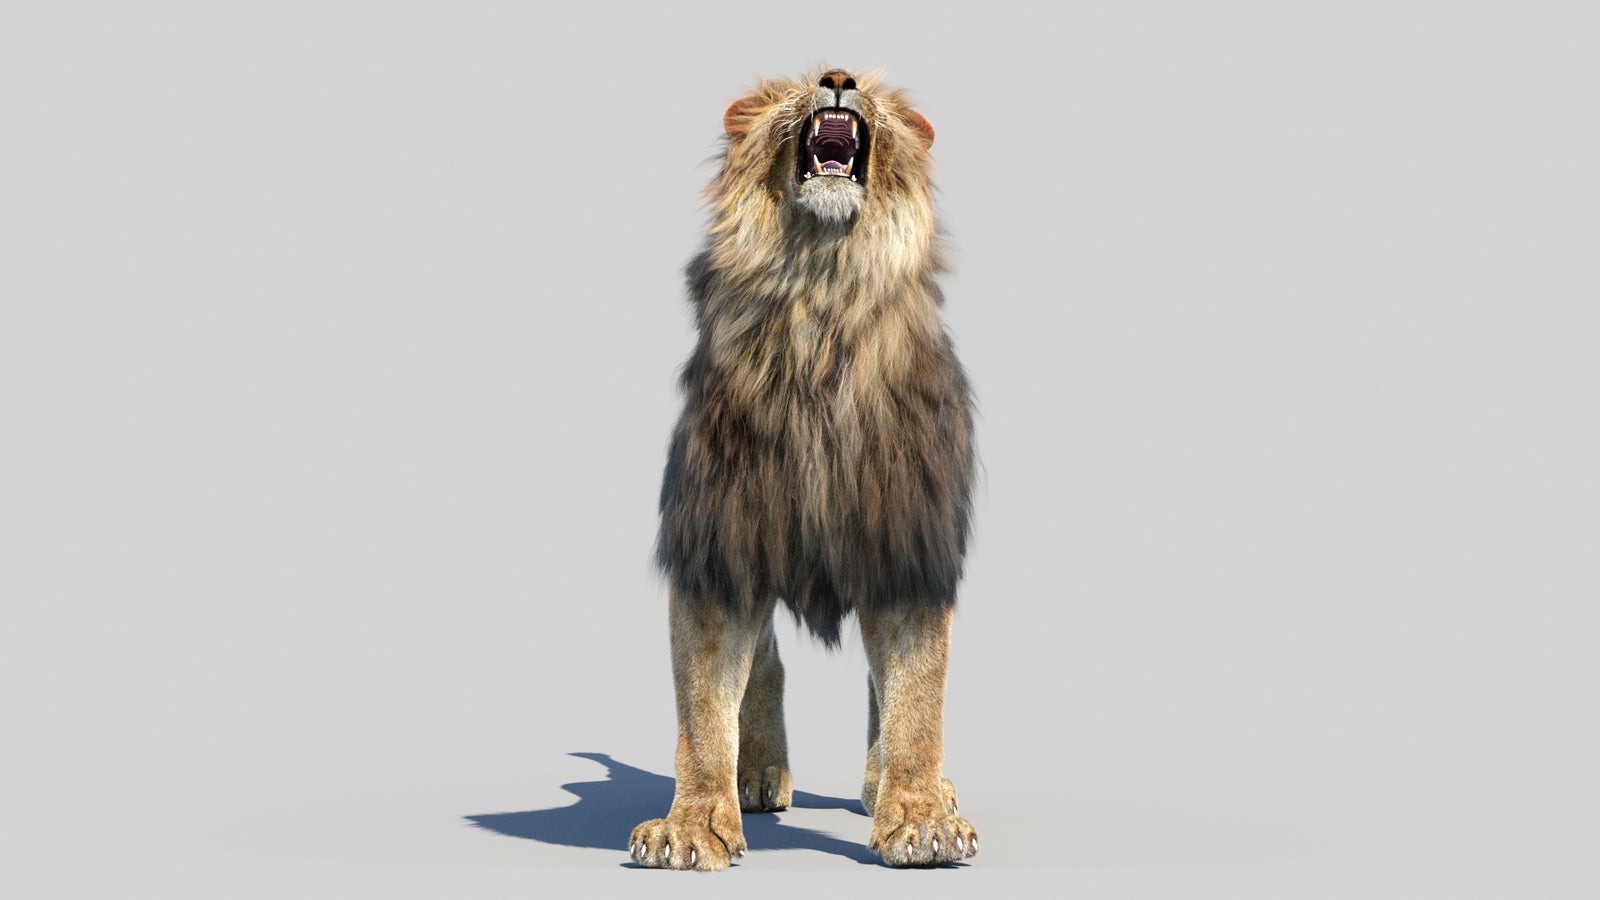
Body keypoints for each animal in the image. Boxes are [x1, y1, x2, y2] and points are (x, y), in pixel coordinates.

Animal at [629, 68, 977, 870]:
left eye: (871, 87)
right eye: (789, 87)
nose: (839, 79)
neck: (821, 293)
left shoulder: (907, 543)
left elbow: (917, 694)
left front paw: (920, 817)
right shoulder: (719, 541)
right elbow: (703, 701)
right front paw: (692, 825)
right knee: (764, 661)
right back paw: (756, 772)